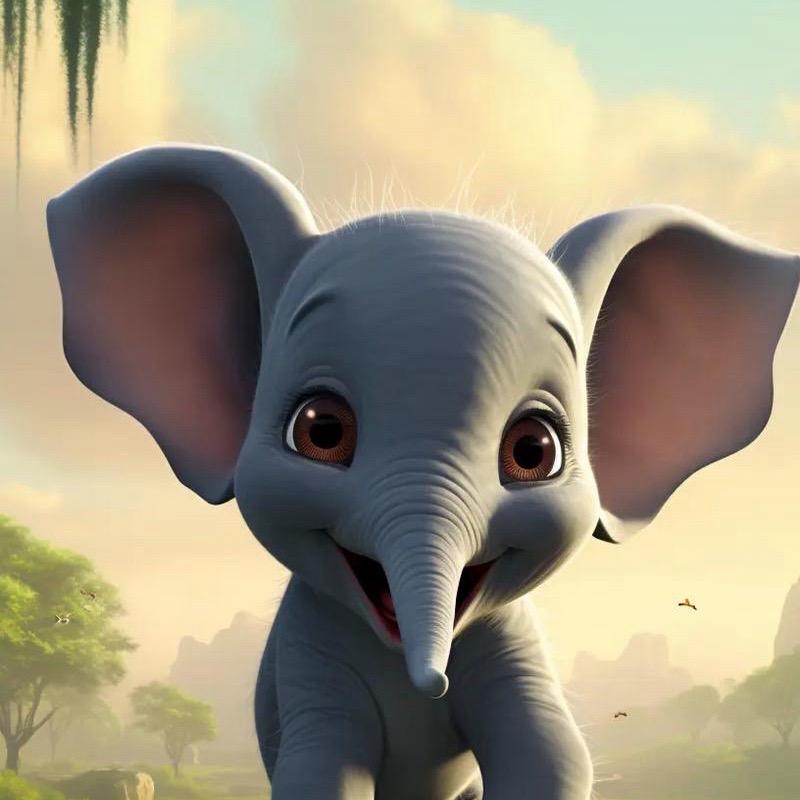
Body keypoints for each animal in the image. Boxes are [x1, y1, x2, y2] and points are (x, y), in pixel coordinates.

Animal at [46, 144, 800, 799]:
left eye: (534, 450)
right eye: (321, 431)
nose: (430, 684)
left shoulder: (512, 643)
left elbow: (552, 756)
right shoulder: (308, 656)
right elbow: (321, 767)